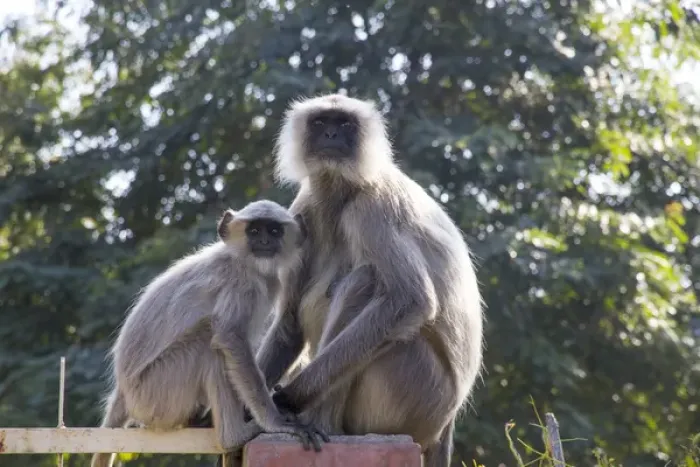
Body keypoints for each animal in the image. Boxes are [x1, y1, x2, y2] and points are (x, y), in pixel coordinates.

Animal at [91, 200, 326, 467]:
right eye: (254, 231)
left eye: (274, 231)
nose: (265, 241)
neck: (244, 261)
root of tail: (124, 393)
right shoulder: (241, 284)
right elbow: (229, 338)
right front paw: (274, 422)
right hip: (157, 392)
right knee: (208, 342)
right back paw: (234, 436)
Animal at [254, 94, 485, 467]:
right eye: (321, 122)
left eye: (345, 123)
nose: (331, 134)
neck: (341, 193)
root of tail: (445, 424)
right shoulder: (303, 211)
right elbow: (289, 325)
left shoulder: (372, 207)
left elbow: (412, 301)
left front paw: (286, 399)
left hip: (416, 390)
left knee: (365, 281)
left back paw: (322, 423)